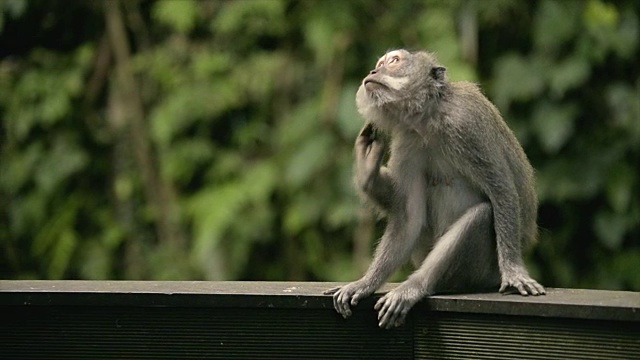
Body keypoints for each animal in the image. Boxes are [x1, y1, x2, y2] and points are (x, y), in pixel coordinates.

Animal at [324, 50, 544, 330]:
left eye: (393, 61)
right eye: (378, 64)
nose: (373, 72)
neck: (429, 119)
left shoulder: (466, 124)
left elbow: (502, 190)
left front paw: (514, 272)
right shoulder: (408, 142)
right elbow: (409, 217)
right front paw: (365, 283)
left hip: (484, 271)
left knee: (482, 215)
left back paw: (415, 287)